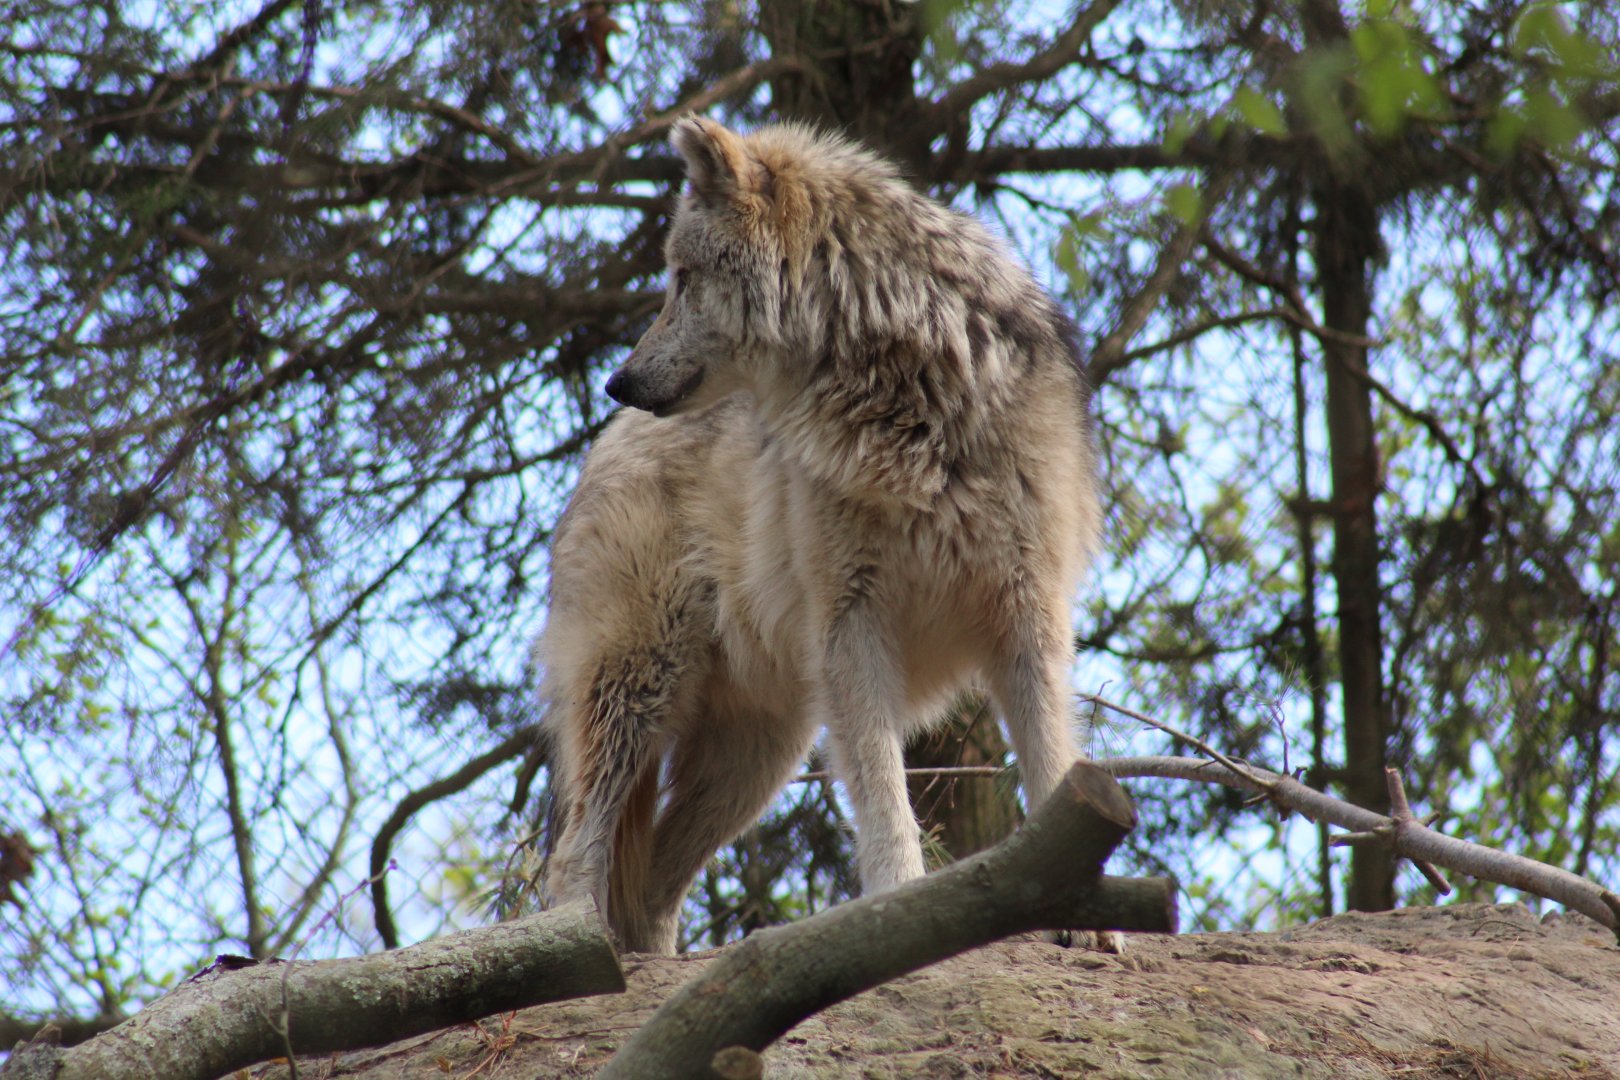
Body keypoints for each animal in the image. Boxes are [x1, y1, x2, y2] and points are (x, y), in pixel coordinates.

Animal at [535, 118, 1101, 953]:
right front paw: (897, 912)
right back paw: (578, 950)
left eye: (681, 278)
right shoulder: (853, 627)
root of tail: (603, 446)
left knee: (656, 886)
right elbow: (884, 797)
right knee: (577, 852)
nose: (619, 382)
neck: (910, 415)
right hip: (640, 689)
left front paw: (1083, 915)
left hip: (759, 754)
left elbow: (1055, 765)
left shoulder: (1027, 618)